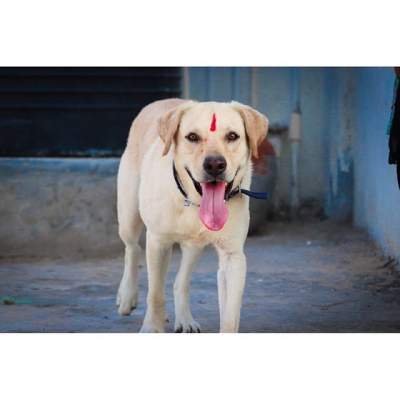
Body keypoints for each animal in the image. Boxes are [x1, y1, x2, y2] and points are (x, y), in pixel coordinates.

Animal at [117, 98, 270, 332]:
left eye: (232, 136)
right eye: (192, 137)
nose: (215, 164)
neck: (194, 202)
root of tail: (159, 101)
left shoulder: (233, 256)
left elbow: (230, 315)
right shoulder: (158, 243)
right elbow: (155, 294)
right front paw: (152, 327)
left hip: (194, 246)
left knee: (180, 281)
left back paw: (184, 319)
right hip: (129, 217)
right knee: (132, 249)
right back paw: (127, 296)